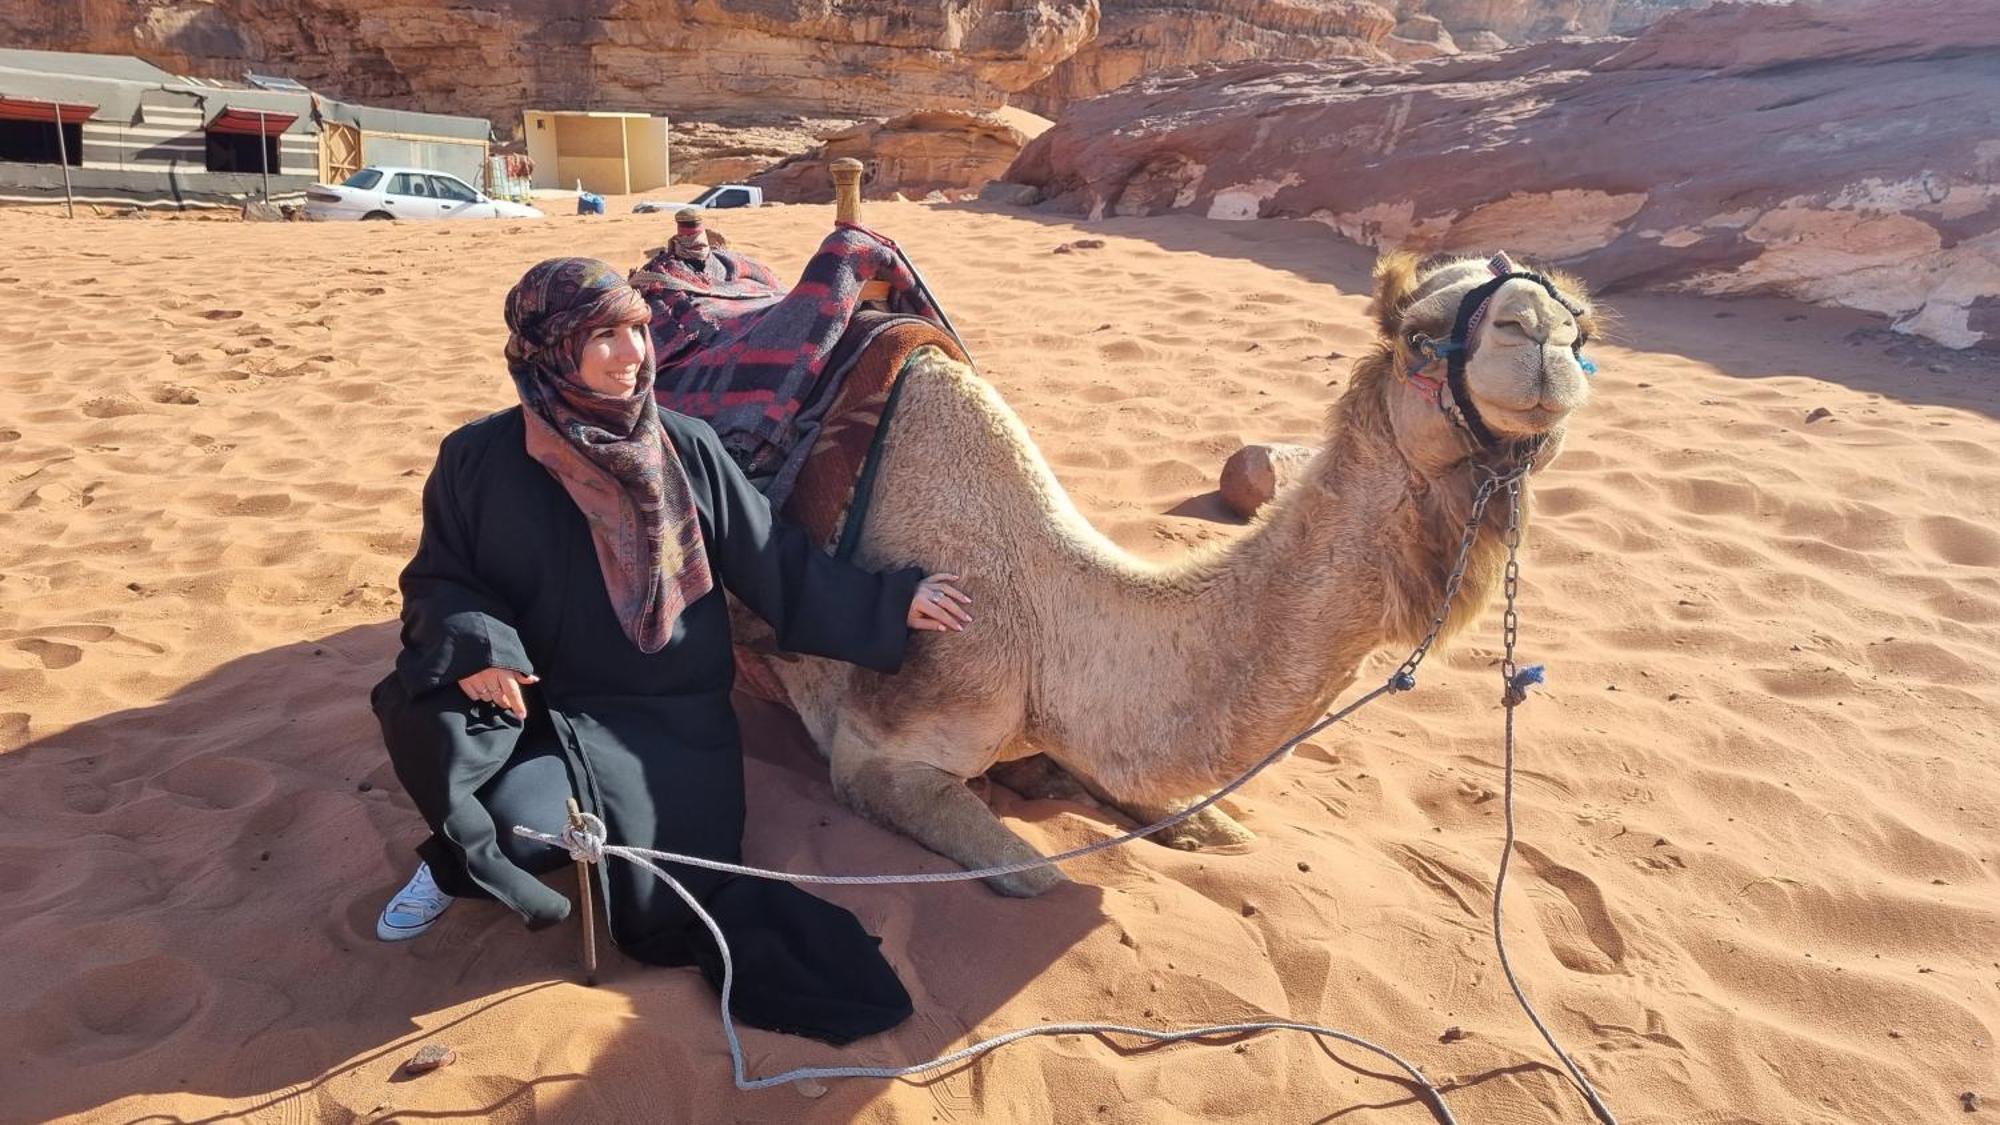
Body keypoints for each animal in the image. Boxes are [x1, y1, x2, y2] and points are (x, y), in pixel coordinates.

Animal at [756, 247, 1600, 892]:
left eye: (1581, 323)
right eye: (1420, 337)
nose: (1538, 328)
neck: (1044, 620)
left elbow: (1213, 825)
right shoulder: (876, 751)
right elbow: (1039, 875)